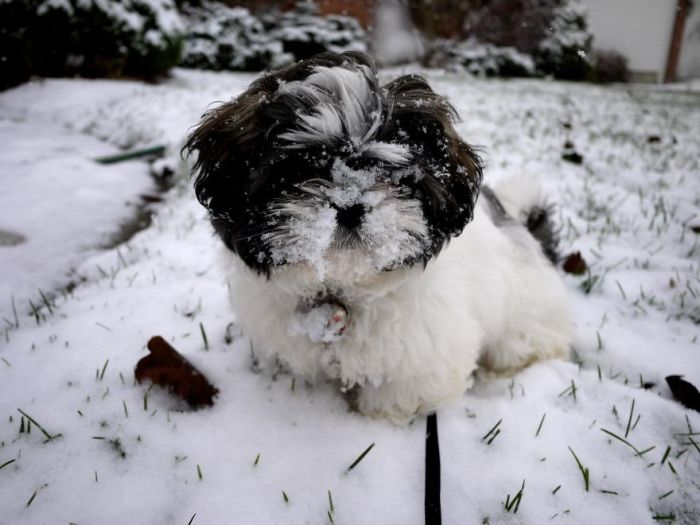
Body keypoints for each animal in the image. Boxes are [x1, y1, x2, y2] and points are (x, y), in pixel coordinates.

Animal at [185, 52, 568, 422]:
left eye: (392, 174)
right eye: (301, 171)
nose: (351, 205)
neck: (341, 289)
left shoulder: (425, 348)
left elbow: (403, 391)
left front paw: (373, 415)